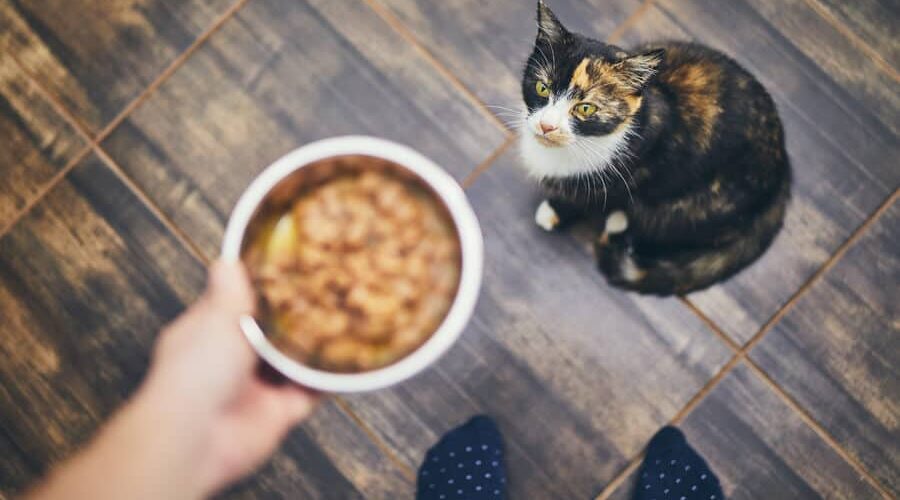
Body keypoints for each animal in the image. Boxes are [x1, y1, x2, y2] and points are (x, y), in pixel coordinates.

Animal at [520, 0, 788, 296]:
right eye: (542, 88)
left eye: (585, 108)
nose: (546, 126)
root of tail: (783, 166)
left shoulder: (626, 174)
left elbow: (588, 198)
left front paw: (556, 211)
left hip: (698, 204)